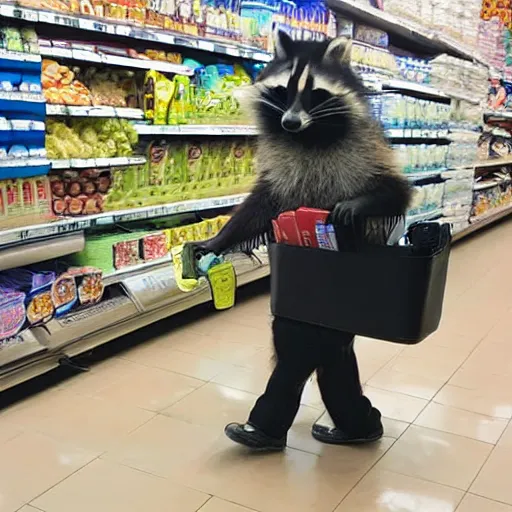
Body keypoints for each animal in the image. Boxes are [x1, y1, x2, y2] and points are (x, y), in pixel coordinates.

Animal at [201, 31, 412, 255]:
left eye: (315, 92)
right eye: (284, 90)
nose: (291, 122)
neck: (307, 135)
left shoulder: (368, 150)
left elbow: (397, 191)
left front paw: (358, 203)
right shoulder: (278, 170)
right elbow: (259, 205)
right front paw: (220, 238)